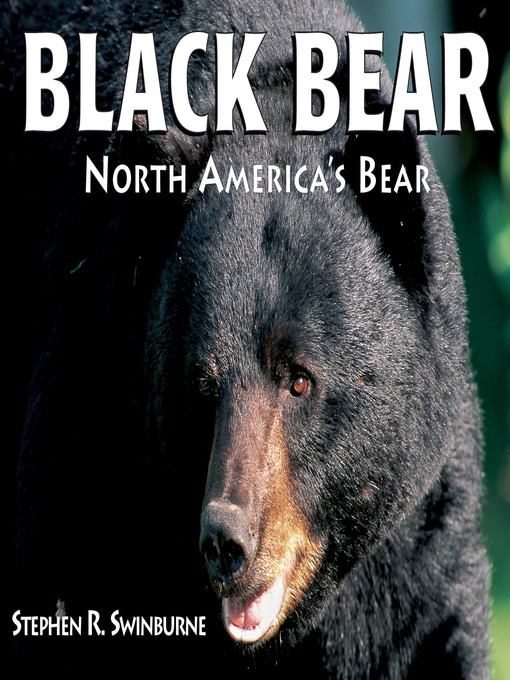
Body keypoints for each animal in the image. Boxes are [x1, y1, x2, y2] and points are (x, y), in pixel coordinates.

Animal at [8, 0, 491, 677]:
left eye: (300, 380)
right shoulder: (94, 398)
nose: (226, 544)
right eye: (201, 385)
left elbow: (425, 632)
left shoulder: (410, 538)